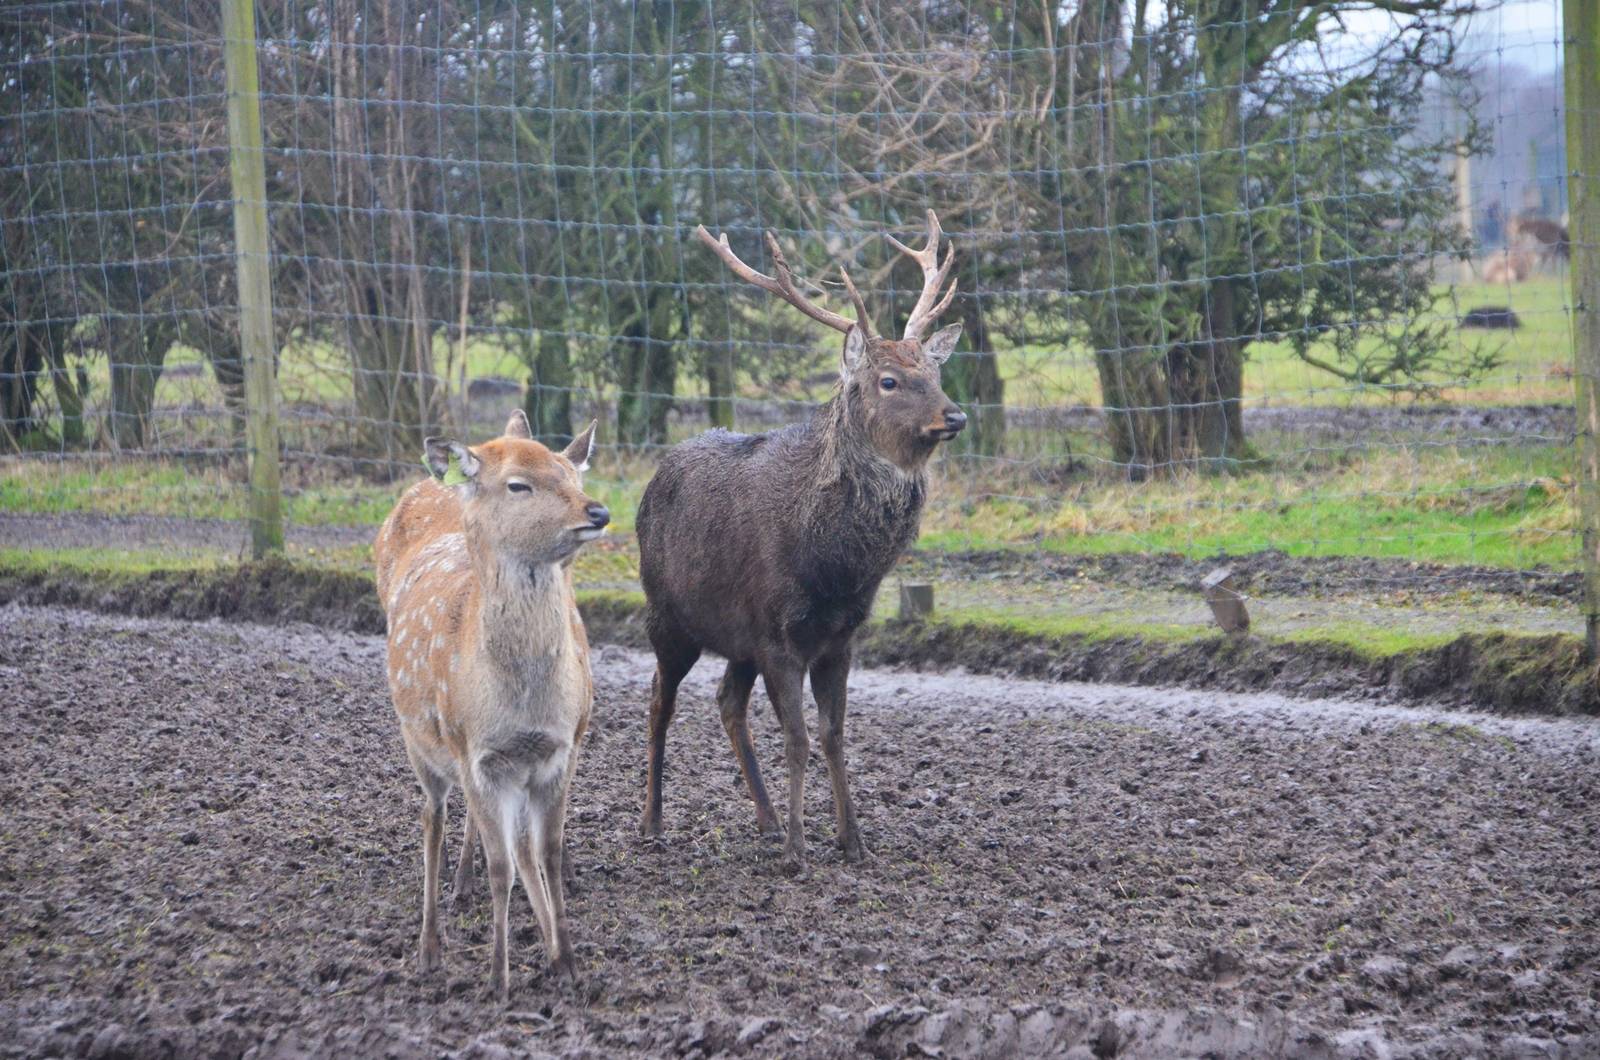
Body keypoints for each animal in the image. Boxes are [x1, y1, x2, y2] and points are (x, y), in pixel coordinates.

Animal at [373, 409, 607, 1000]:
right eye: (518, 485)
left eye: (570, 475)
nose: (597, 510)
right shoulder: (474, 752)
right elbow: (502, 865)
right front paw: (499, 978)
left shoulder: (555, 752)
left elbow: (543, 853)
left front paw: (566, 962)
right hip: (422, 743)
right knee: (431, 816)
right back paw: (430, 947)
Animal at [635, 210, 967, 870]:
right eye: (889, 380)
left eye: (935, 371)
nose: (956, 415)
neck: (835, 570)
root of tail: (648, 486)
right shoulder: (779, 635)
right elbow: (797, 738)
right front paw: (798, 848)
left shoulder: (839, 638)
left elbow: (835, 737)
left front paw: (851, 840)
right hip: (668, 616)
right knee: (661, 698)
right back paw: (653, 821)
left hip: (734, 637)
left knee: (727, 701)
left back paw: (762, 819)